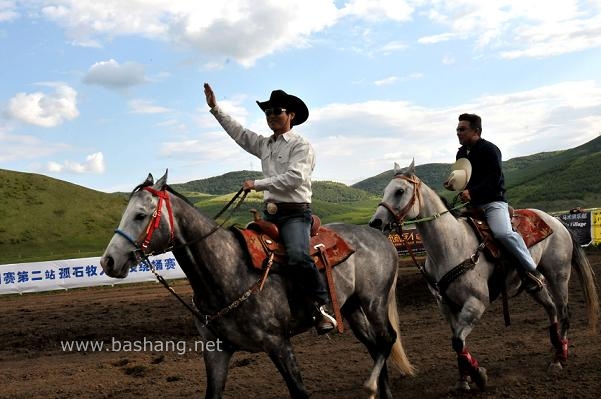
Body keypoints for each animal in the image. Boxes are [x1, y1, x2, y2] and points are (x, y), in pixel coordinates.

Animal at [101, 173, 414, 399]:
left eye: (140, 215)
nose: (108, 261)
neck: (226, 270)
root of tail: (380, 236)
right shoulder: (216, 350)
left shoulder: (279, 344)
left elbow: (299, 392)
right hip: (351, 307)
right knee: (375, 346)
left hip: (374, 301)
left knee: (387, 339)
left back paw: (370, 386)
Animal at [368, 161, 596, 392]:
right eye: (385, 190)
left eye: (399, 191)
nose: (376, 223)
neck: (451, 244)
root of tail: (556, 221)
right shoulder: (446, 306)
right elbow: (457, 342)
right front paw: (464, 379)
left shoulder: (476, 303)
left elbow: (458, 341)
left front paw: (478, 375)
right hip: (534, 286)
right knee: (551, 309)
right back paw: (555, 347)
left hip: (559, 275)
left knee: (564, 311)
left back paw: (559, 358)